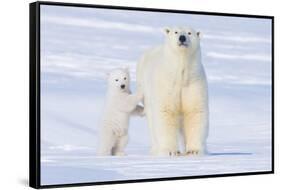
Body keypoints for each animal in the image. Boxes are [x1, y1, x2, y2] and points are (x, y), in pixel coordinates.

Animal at [136, 27, 208, 157]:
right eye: (176, 32)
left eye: (189, 33)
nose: (182, 38)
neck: (180, 76)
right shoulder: (166, 84)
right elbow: (166, 111)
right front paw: (171, 151)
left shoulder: (193, 83)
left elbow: (195, 111)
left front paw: (193, 151)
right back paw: (155, 149)